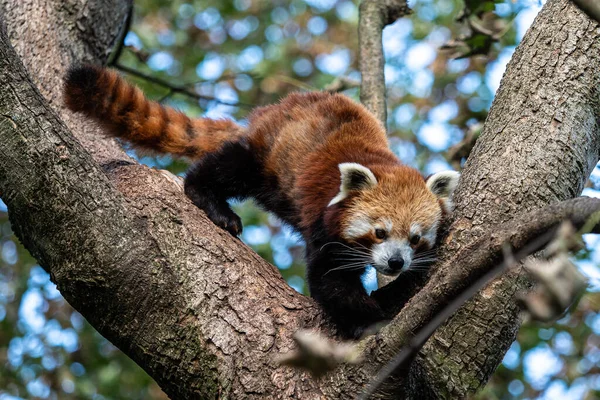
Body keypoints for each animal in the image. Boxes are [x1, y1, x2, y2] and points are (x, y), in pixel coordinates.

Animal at [63, 65, 460, 338]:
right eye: (379, 232)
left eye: (415, 238)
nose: (395, 263)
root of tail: (272, 112)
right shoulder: (323, 223)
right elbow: (331, 282)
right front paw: (370, 320)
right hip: (265, 159)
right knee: (228, 168)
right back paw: (210, 201)